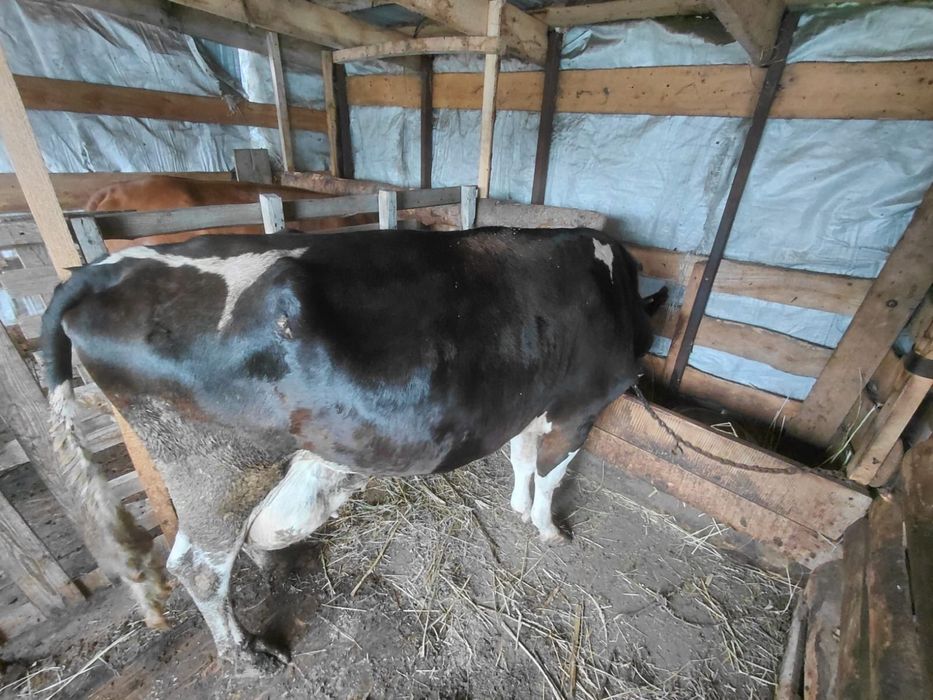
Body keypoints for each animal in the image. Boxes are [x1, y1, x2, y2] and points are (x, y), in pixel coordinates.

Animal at [41, 227, 658, 675]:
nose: (643, 365)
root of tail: (109, 267)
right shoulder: (578, 408)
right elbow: (553, 473)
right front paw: (548, 527)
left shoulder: (532, 406)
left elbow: (524, 459)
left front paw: (518, 507)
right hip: (217, 470)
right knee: (198, 568)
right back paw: (249, 657)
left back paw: (273, 565)